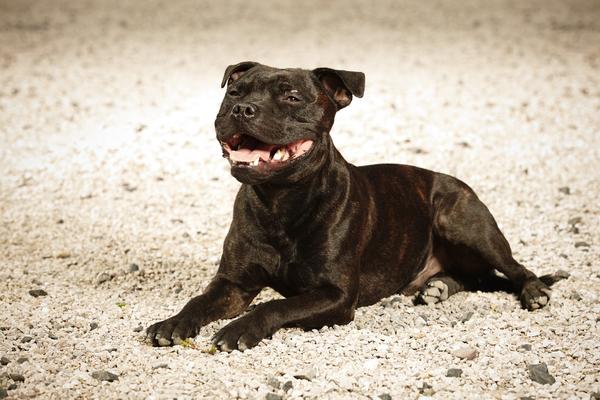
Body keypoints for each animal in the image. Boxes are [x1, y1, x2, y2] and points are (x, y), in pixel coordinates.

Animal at [148, 61, 556, 352]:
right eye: (233, 92)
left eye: (292, 97)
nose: (243, 109)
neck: (280, 201)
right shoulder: (232, 284)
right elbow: (198, 301)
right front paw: (173, 322)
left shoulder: (337, 295)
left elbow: (274, 306)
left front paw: (240, 329)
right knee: (476, 277)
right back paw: (438, 287)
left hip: (463, 222)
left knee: (514, 269)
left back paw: (533, 291)